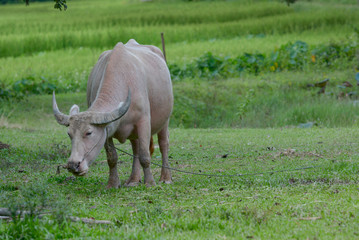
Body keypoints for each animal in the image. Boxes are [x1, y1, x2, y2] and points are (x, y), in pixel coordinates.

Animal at [53, 39, 174, 188]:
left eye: (89, 133)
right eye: (69, 134)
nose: (73, 165)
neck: (124, 79)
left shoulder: (143, 122)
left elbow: (145, 155)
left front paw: (150, 182)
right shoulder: (107, 130)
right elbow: (112, 157)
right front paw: (113, 183)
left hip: (165, 120)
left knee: (163, 144)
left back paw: (165, 177)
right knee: (135, 148)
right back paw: (134, 179)